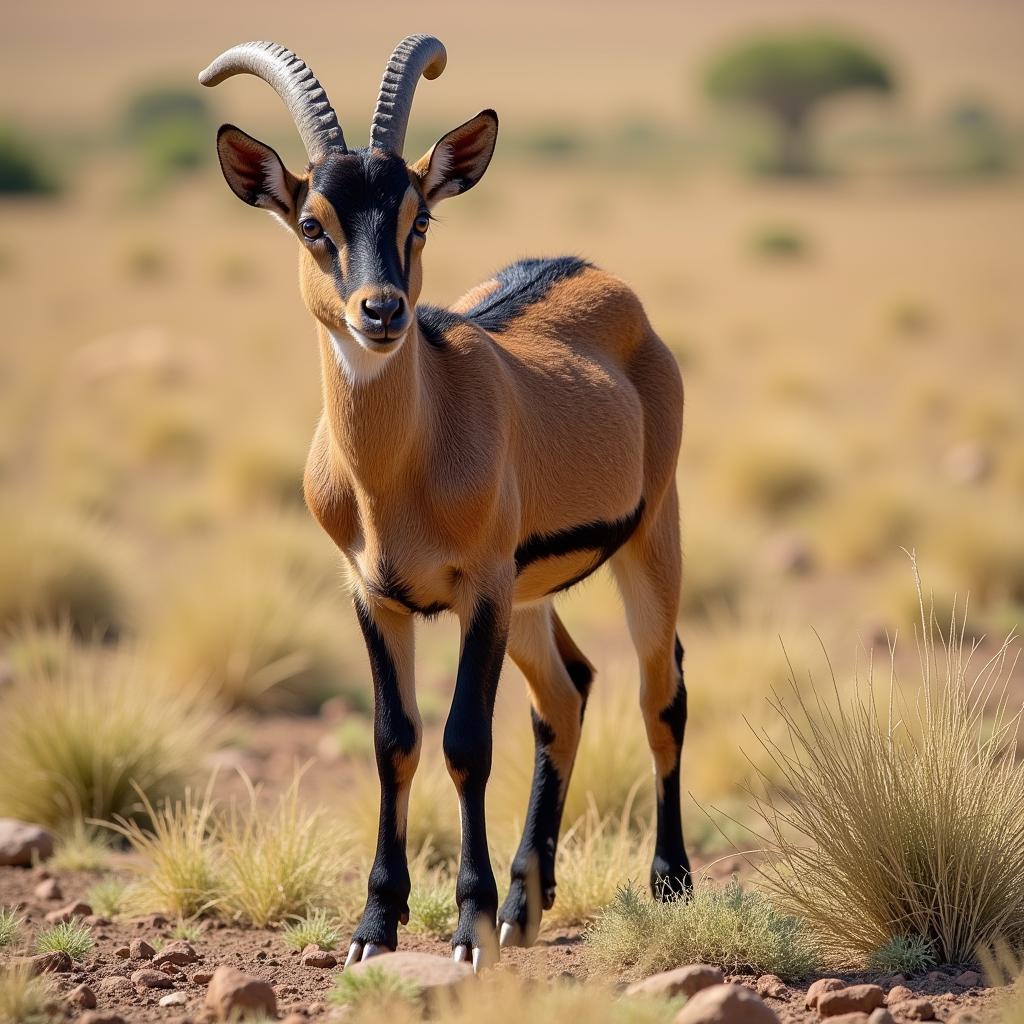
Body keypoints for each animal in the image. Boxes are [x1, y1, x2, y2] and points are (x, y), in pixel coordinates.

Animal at [200, 36, 692, 970]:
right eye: (313, 223)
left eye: (417, 217)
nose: (382, 310)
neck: (400, 469)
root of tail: (605, 282)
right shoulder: (375, 596)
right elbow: (395, 741)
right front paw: (375, 925)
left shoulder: (480, 592)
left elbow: (466, 741)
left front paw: (467, 928)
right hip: (533, 596)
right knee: (566, 692)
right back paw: (528, 905)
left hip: (648, 541)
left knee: (663, 692)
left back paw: (668, 884)